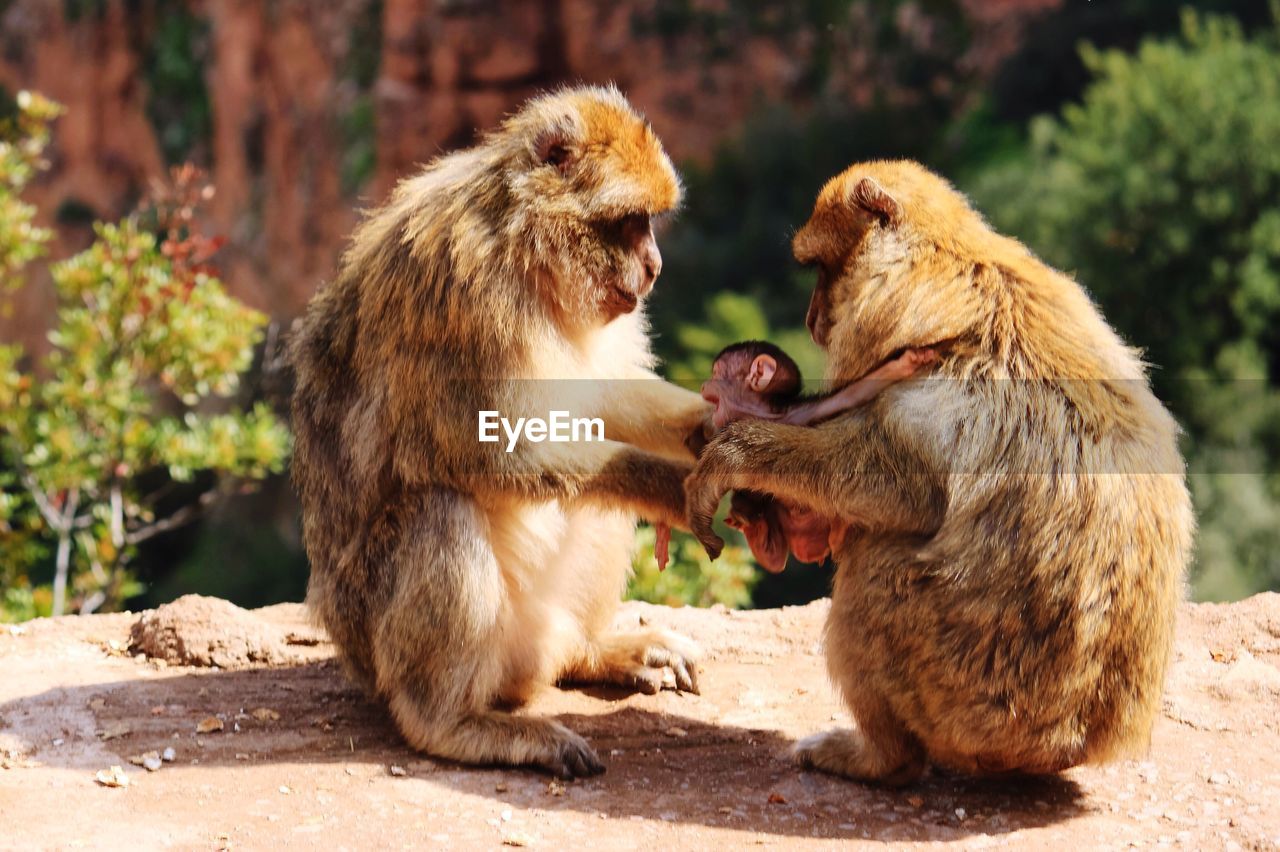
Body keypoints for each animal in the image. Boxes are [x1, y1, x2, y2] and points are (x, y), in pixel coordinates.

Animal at [291, 86, 711, 777]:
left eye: (648, 223)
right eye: (629, 223)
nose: (653, 266)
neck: (527, 250)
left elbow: (599, 397)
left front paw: (718, 424)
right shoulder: (464, 294)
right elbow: (485, 452)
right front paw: (672, 485)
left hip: (532, 635)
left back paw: (590, 651)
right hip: (378, 642)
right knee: (440, 509)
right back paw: (451, 724)